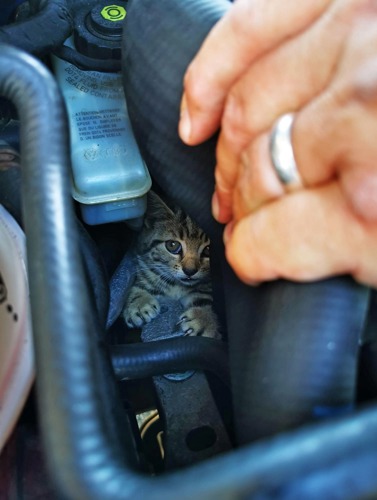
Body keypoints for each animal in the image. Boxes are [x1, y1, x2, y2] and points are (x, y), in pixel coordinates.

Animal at [122, 191, 219, 340]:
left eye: (209, 249)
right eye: (172, 245)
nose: (190, 271)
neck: (176, 285)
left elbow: (204, 297)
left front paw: (205, 319)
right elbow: (145, 276)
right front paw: (138, 302)